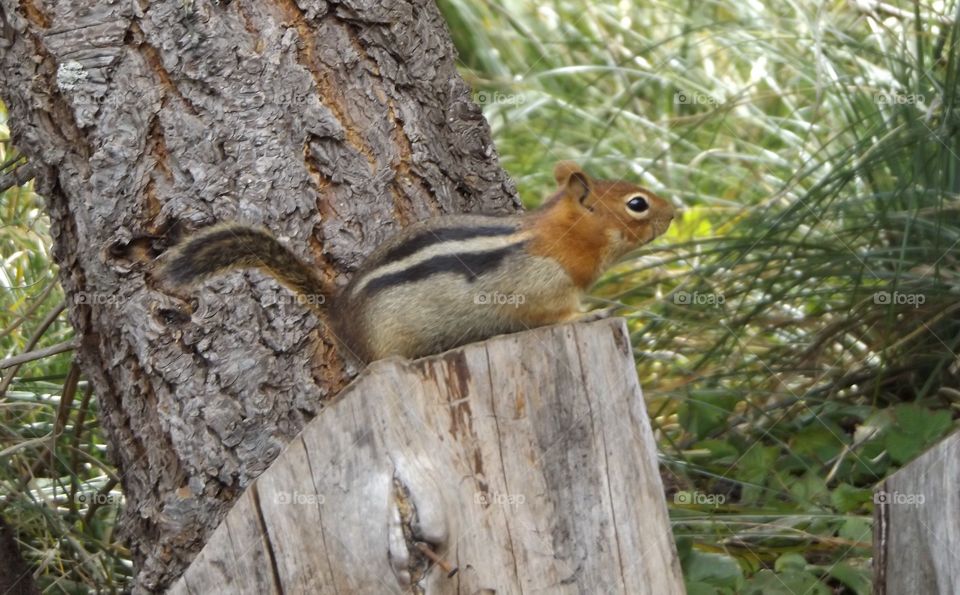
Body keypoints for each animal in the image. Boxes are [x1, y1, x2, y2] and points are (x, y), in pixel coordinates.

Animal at [157, 162, 675, 363]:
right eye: (637, 204)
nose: (674, 213)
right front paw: (594, 312)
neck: (558, 238)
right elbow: (555, 315)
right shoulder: (541, 289)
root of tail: (340, 312)